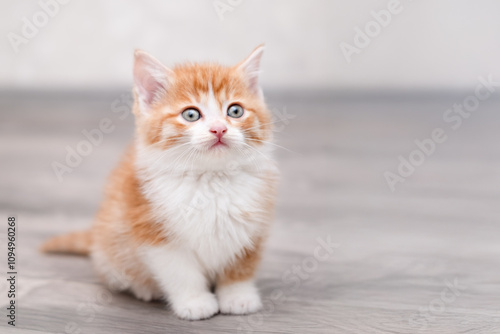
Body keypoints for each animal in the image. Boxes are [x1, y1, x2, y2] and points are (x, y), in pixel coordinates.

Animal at [41, 45, 280, 320]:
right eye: (191, 114)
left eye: (235, 111)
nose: (219, 129)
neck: (210, 178)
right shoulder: (151, 226)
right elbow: (179, 271)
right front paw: (195, 302)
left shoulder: (255, 223)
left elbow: (243, 261)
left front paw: (238, 296)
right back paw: (145, 288)